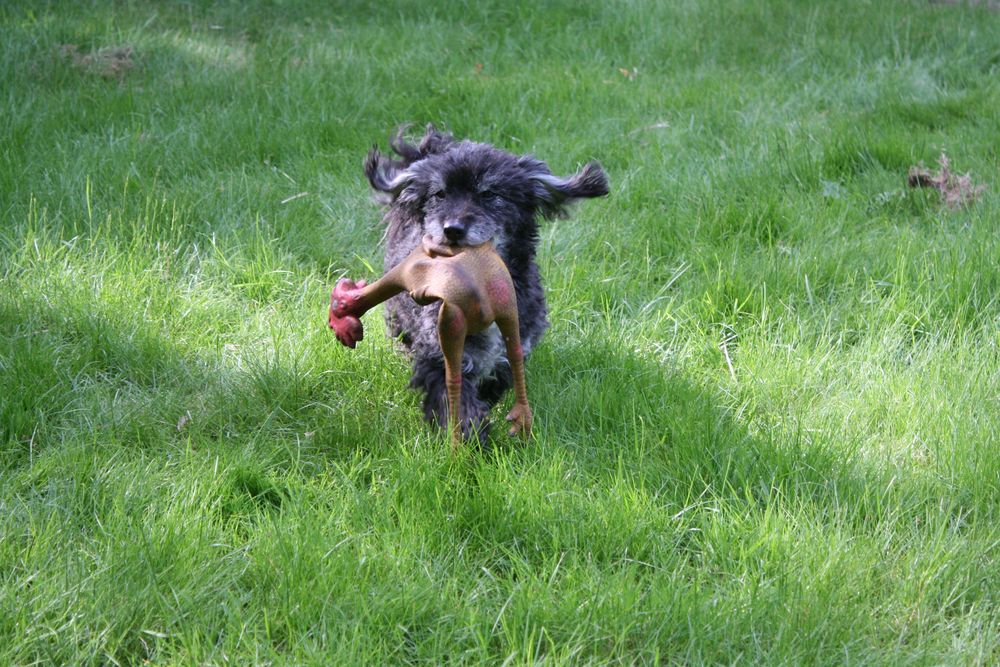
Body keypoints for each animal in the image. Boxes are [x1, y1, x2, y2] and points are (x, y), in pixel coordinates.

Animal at [364, 125, 604, 440]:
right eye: (440, 194)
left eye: (489, 193)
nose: (452, 229)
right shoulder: (441, 353)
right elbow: (457, 400)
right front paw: (471, 437)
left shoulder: (512, 350)